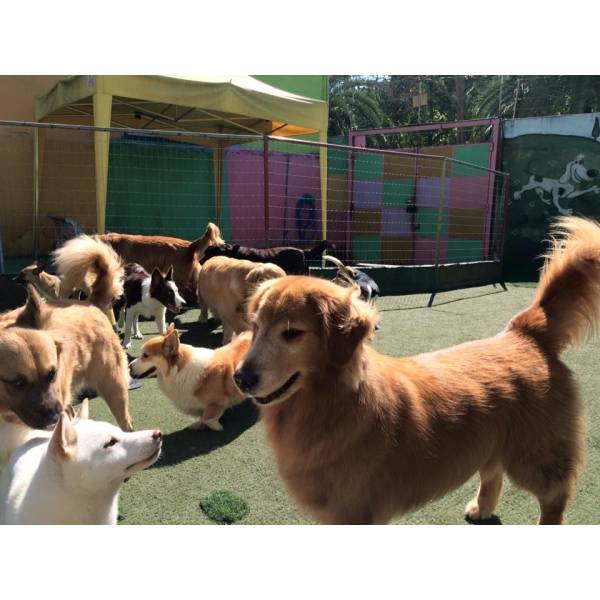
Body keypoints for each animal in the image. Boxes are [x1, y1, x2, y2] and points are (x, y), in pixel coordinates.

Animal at [233, 217, 600, 524]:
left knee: (554, 499)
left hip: (536, 458)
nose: (240, 379)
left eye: (292, 333)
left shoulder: (355, 513)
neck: (335, 401)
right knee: (492, 474)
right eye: (256, 327)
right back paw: (482, 508)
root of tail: (526, 331)